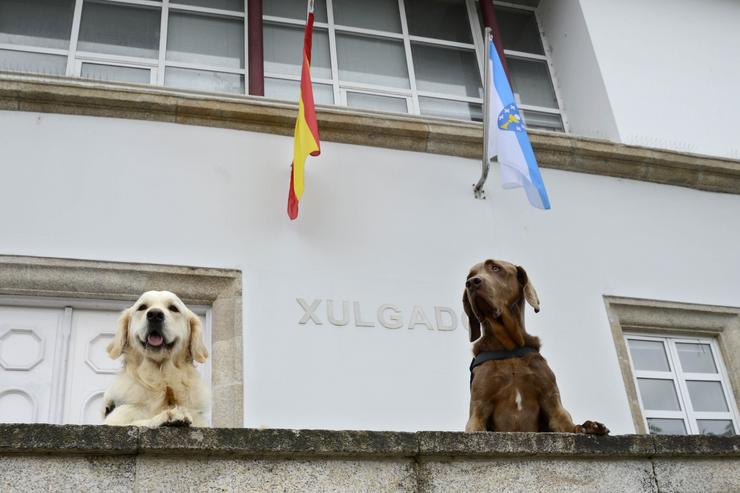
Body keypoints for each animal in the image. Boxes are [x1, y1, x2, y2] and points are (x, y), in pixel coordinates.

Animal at [101, 290, 211, 424]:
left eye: (173, 308)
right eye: (142, 307)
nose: (155, 315)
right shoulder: (116, 418)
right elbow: (139, 421)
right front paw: (167, 416)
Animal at [462, 260, 608, 432]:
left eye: (495, 267)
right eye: (469, 276)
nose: (471, 283)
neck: (509, 348)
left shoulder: (552, 402)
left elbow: (568, 424)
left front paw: (590, 426)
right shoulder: (479, 408)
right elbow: (476, 423)